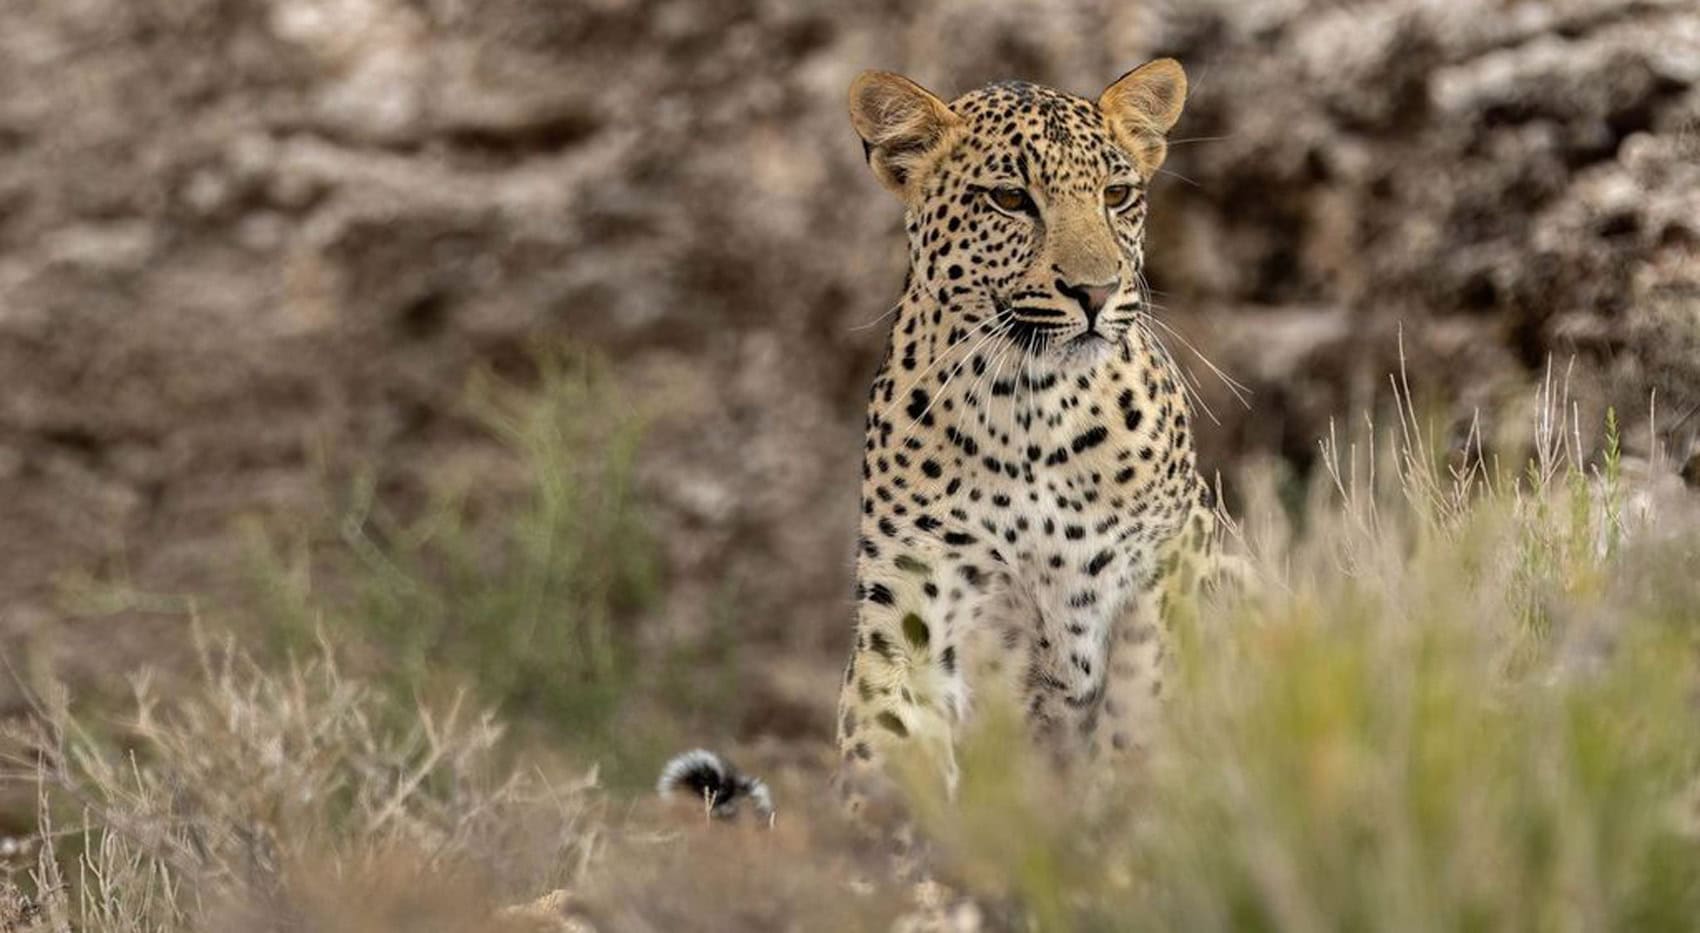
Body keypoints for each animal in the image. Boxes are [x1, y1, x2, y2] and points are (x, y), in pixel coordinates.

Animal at [831, 58, 1223, 822]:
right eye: (1010, 199)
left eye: (1117, 194)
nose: (1096, 292)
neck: (1028, 409)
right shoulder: (910, 606)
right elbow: (886, 738)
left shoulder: (1160, 573)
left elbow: (1141, 714)